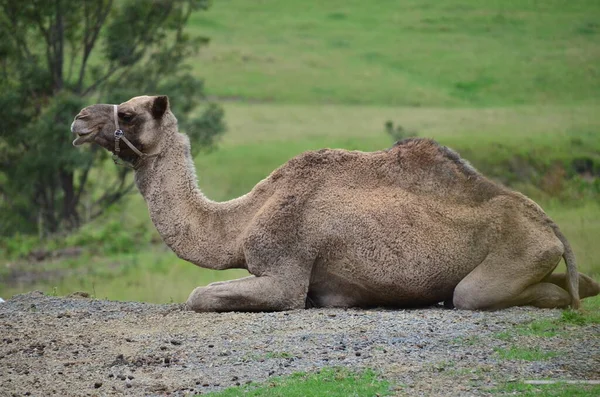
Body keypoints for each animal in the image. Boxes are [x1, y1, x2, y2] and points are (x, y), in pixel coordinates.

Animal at [71, 94, 600, 310]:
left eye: (130, 114)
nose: (78, 120)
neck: (242, 220)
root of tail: (549, 225)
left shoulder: (284, 267)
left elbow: (199, 295)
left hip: (518, 253)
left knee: (478, 295)